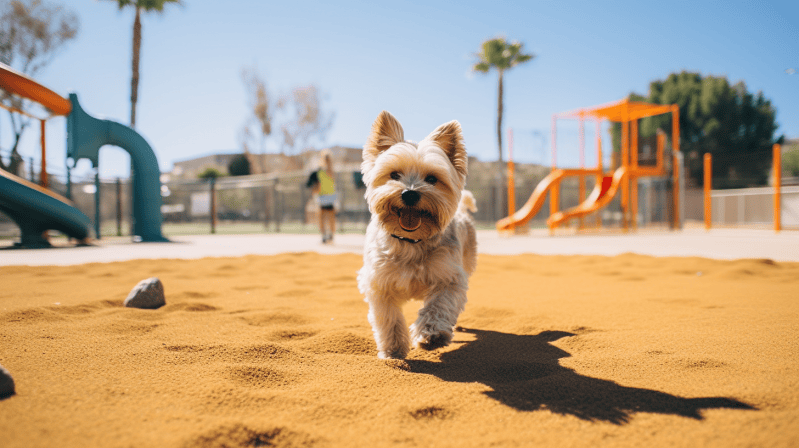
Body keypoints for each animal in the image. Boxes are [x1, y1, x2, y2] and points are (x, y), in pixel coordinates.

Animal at [360, 112, 478, 360]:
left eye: (432, 179)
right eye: (394, 175)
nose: (410, 194)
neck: (410, 242)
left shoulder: (449, 278)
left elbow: (439, 306)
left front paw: (431, 335)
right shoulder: (379, 283)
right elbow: (389, 317)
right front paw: (393, 349)